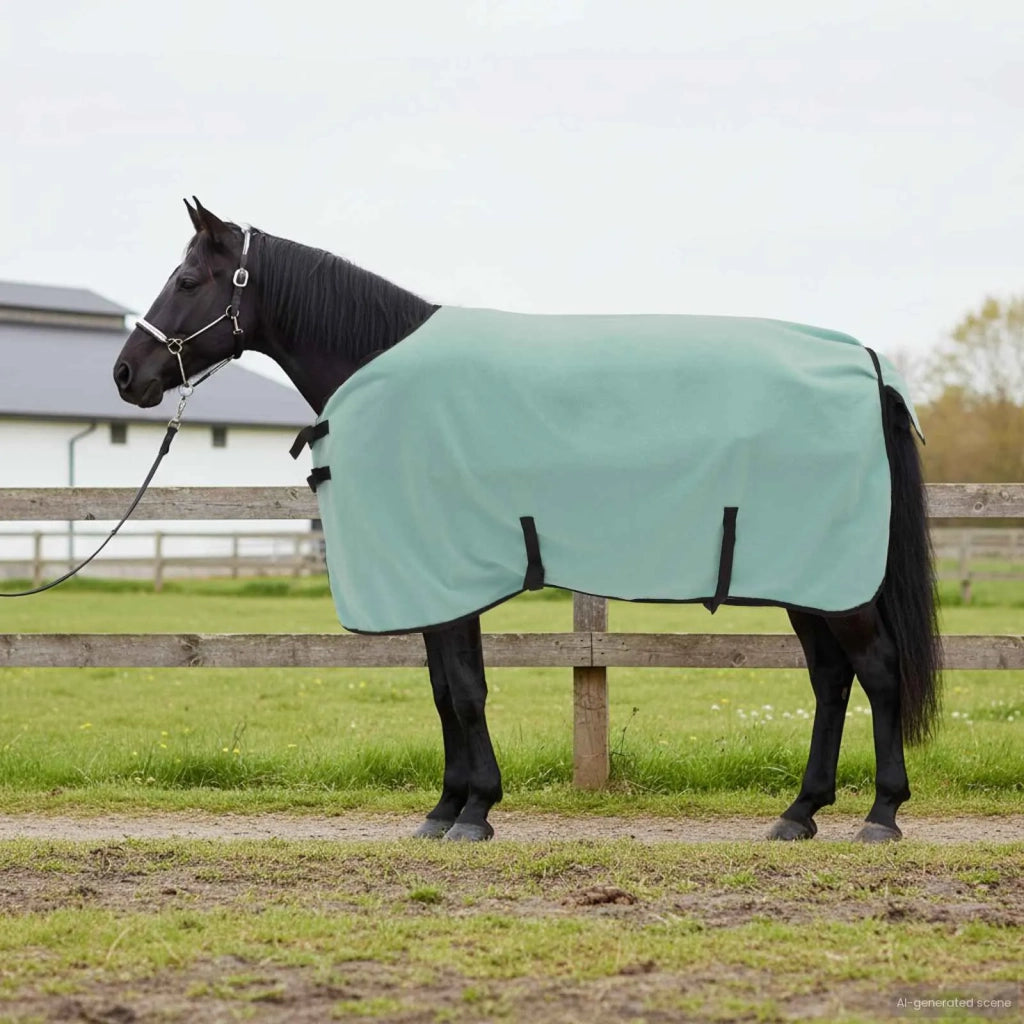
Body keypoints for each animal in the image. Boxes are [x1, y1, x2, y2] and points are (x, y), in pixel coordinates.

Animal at [113, 198, 941, 843]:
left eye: (187, 280)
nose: (126, 374)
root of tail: (865, 364)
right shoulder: (438, 584)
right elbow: (446, 689)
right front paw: (447, 807)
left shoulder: (447, 578)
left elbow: (464, 691)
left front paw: (474, 811)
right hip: (809, 578)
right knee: (831, 679)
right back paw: (800, 813)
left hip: (836, 581)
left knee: (878, 669)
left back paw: (881, 814)